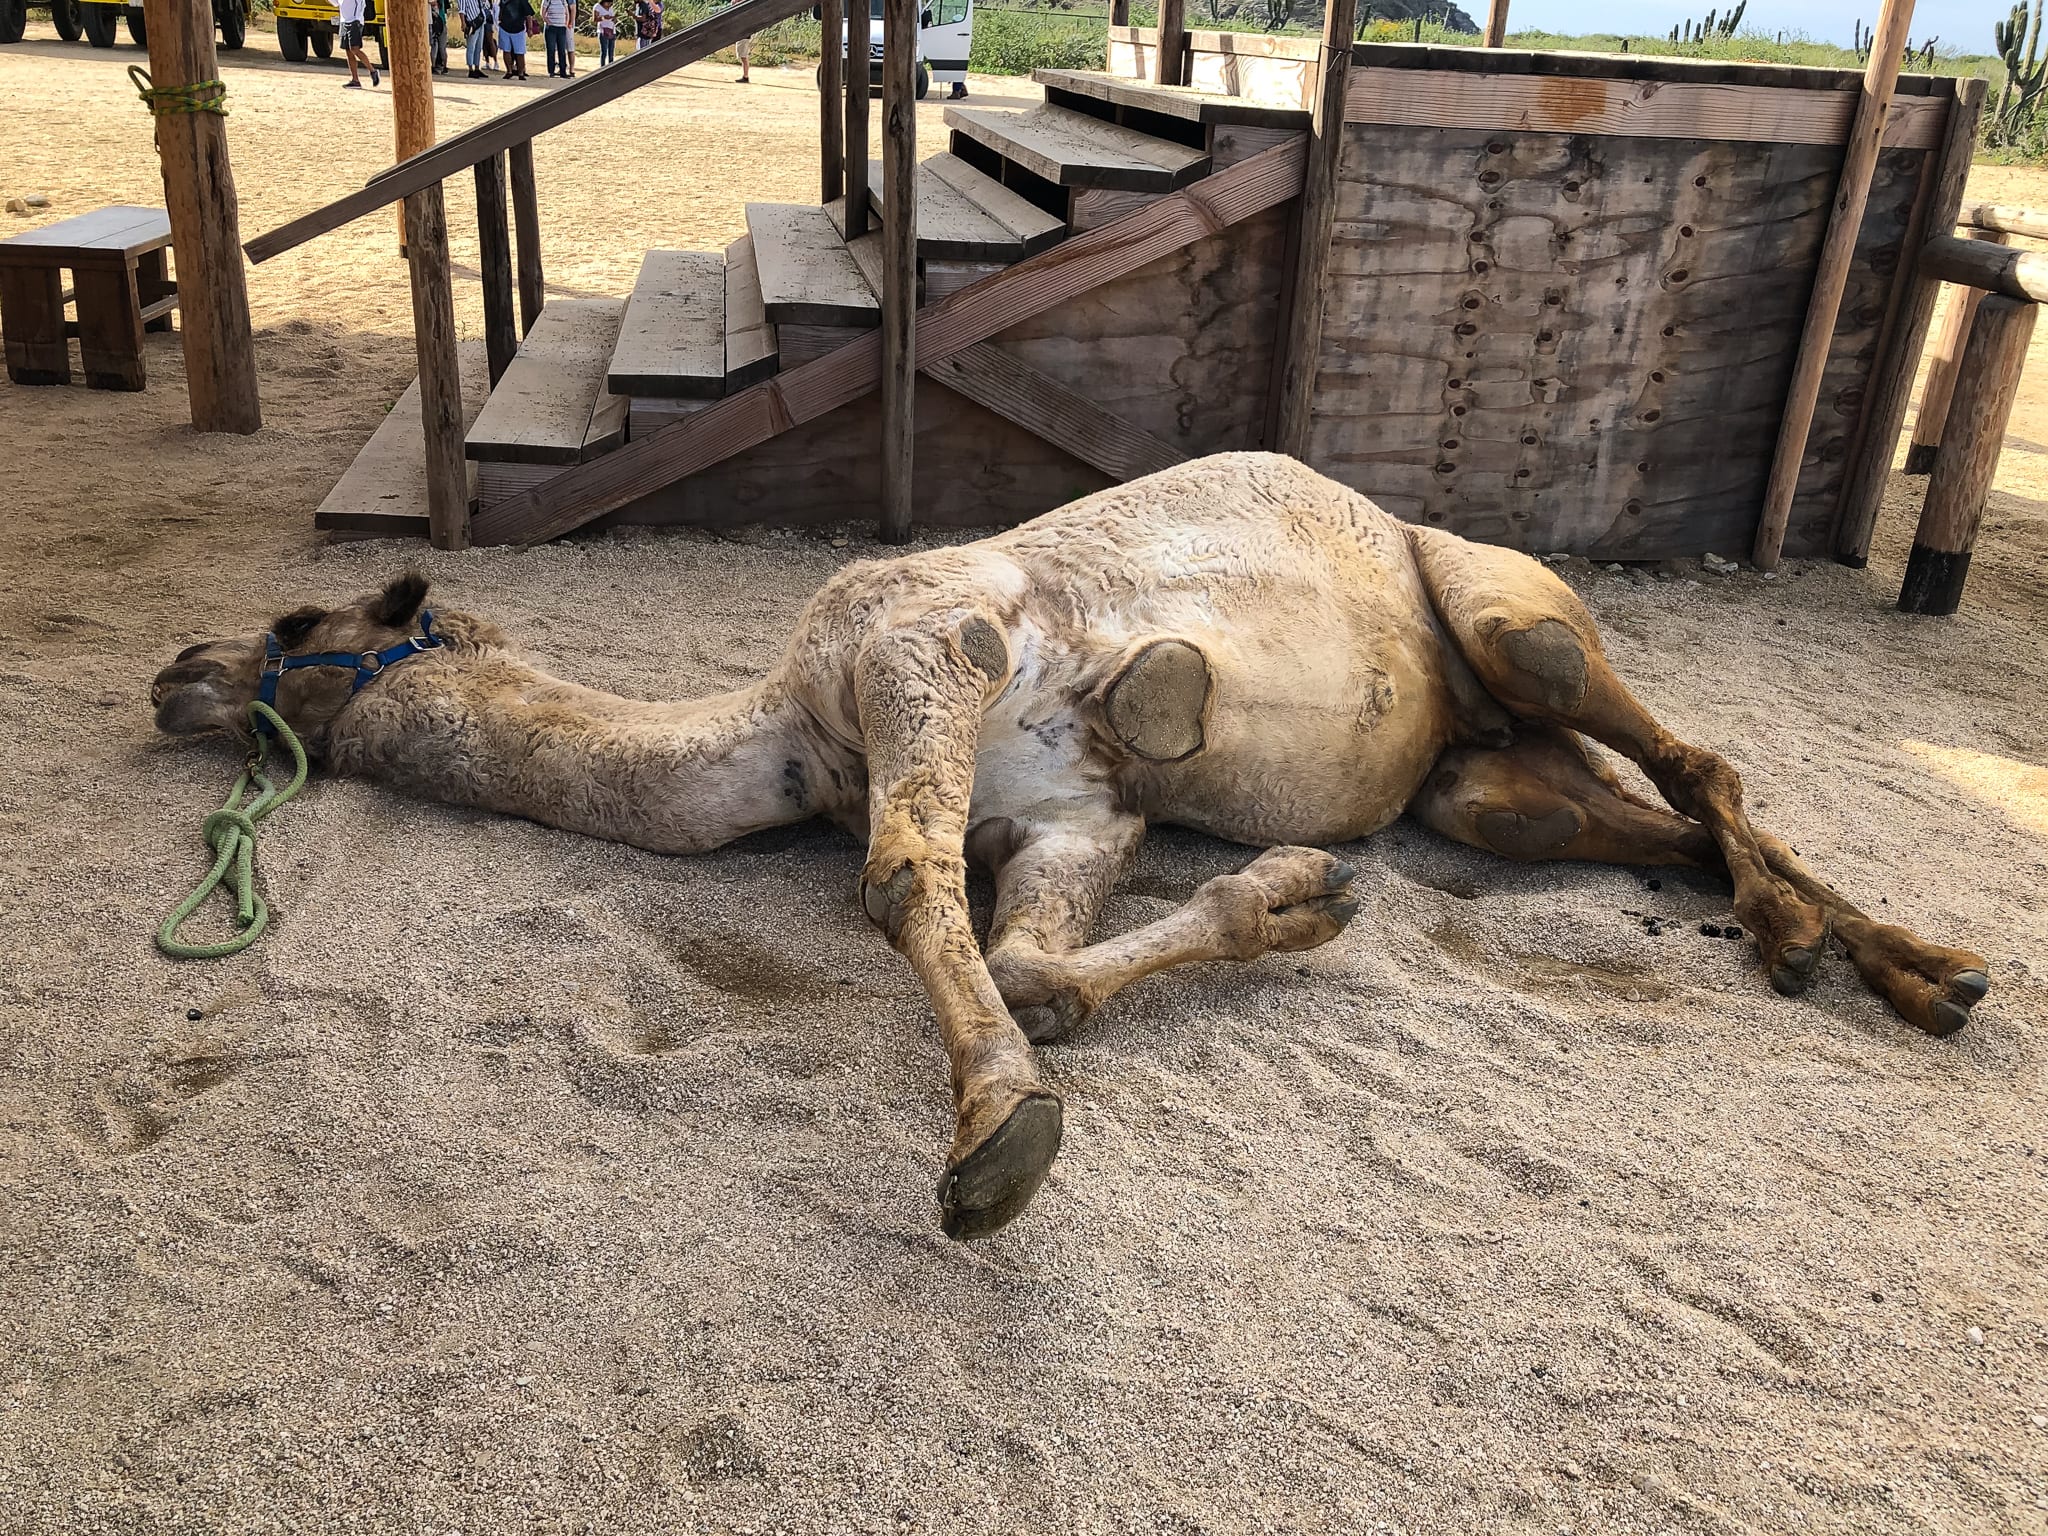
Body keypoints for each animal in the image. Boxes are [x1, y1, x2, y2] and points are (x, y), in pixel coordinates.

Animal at [152, 453, 1988, 1239]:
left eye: (295, 626)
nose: (171, 673)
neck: (791, 725)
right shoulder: (1071, 814)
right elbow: (1032, 956)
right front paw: (1296, 892)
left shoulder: (924, 646)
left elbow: (901, 881)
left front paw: (997, 1145)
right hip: (1480, 781)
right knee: (1642, 818)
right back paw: (1877, 961)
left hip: (1508, 616)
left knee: (1686, 748)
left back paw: (1876, 956)